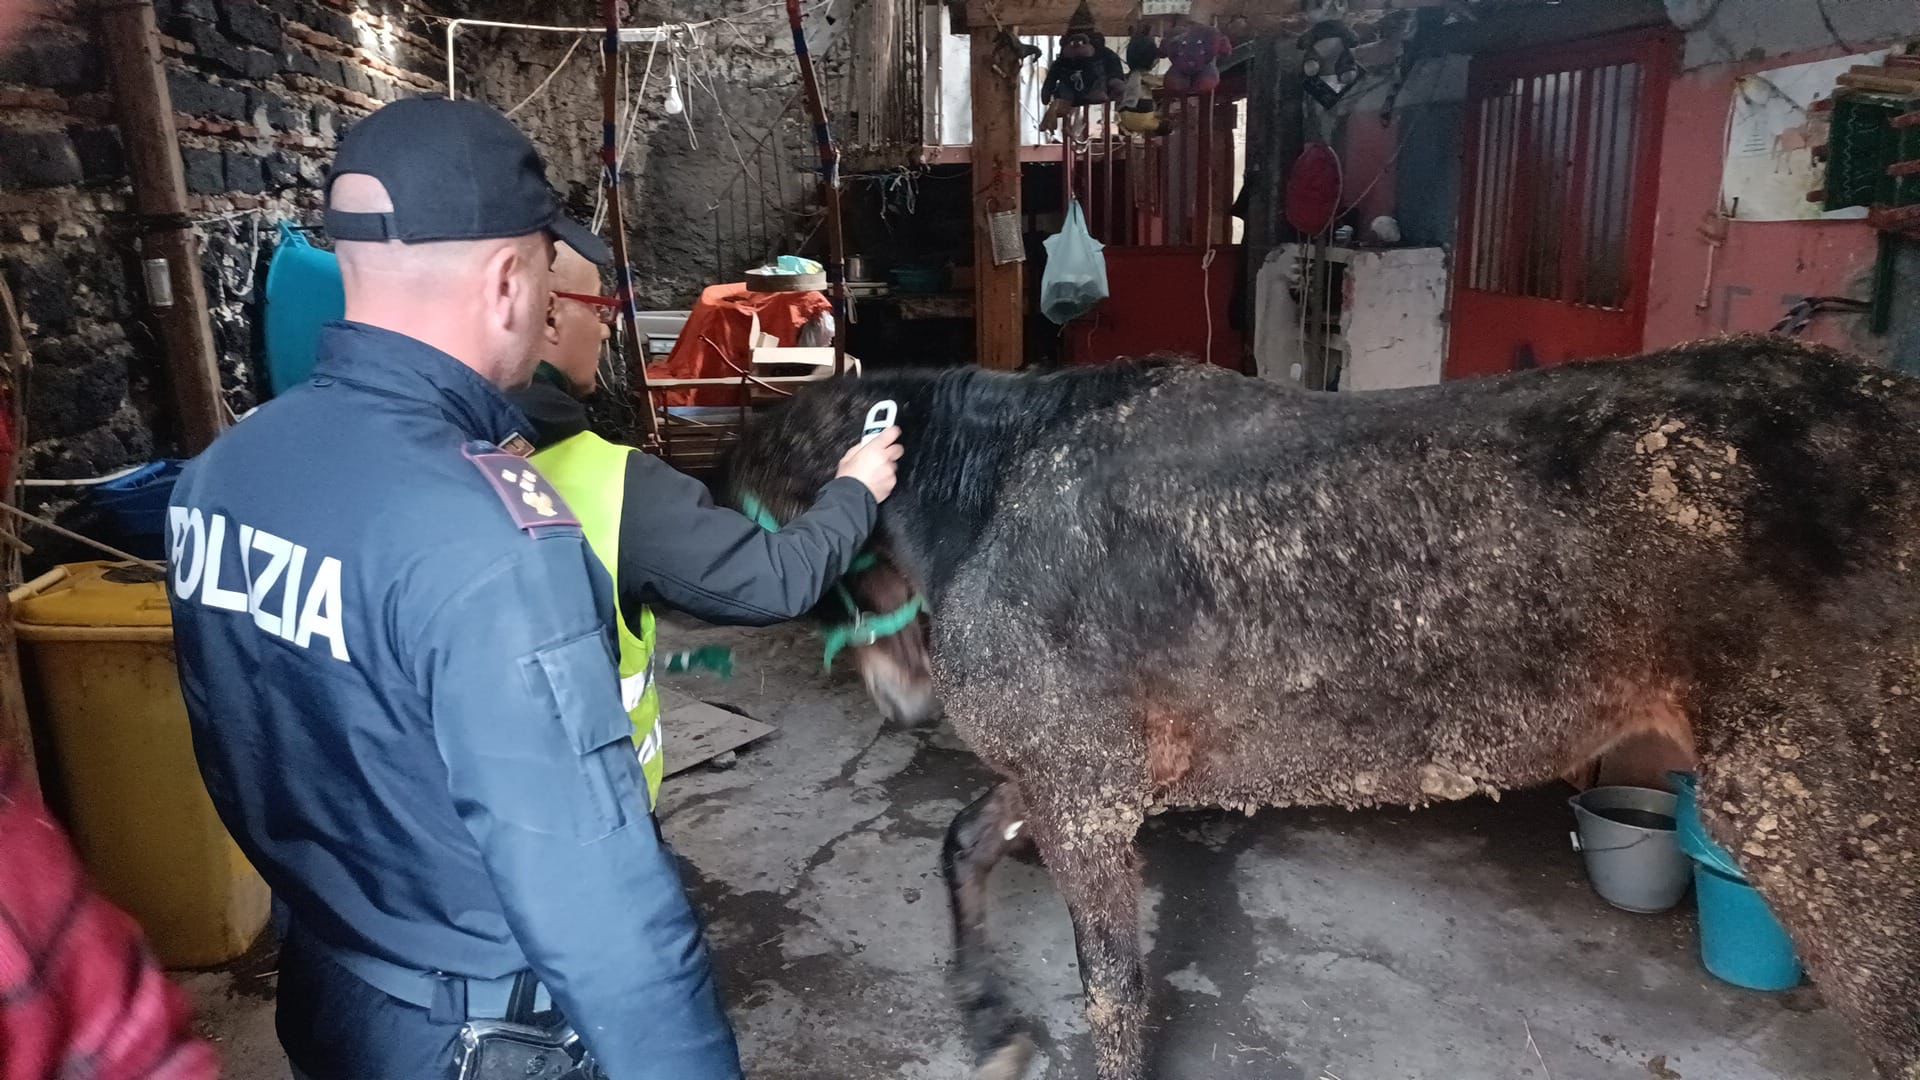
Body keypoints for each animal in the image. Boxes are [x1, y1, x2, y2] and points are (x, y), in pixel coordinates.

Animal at [721, 336, 1920, 1076]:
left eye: (791, 528)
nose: (900, 704)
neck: (1002, 483)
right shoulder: (1069, 780)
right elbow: (963, 849)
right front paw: (990, 1022)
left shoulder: (1084, 795)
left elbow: (1111, 989)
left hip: (1821, 840)